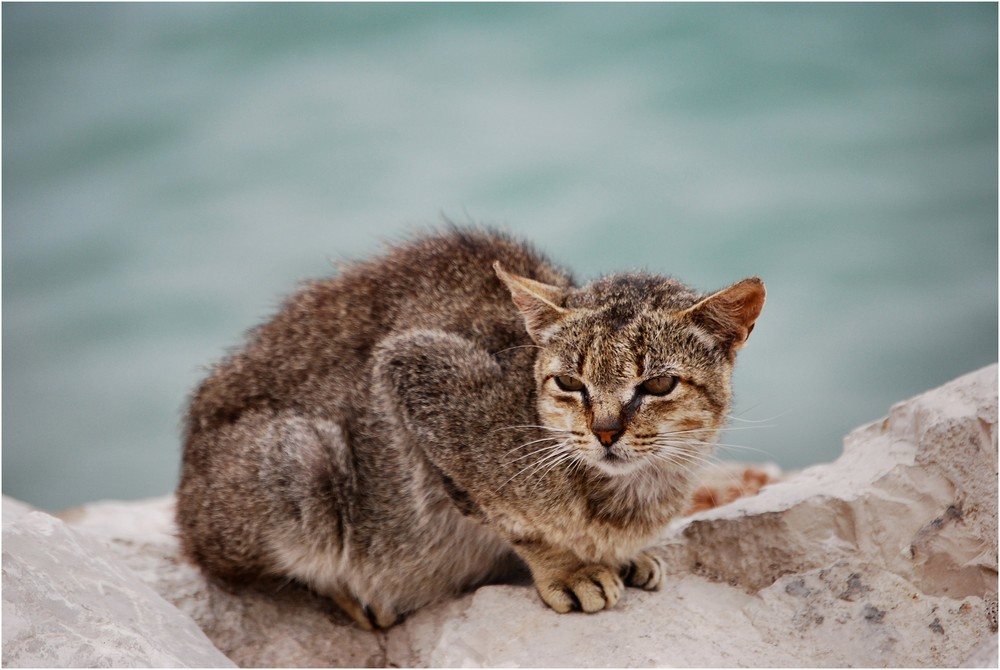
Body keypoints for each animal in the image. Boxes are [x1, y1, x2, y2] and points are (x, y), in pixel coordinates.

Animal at [176, 228, 760, 632]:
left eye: (659, 383)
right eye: (569, 382)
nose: (606, 432)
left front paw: (619, 557)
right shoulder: (412, 369)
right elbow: (511, 520)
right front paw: (571, 570)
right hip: (300, 463)